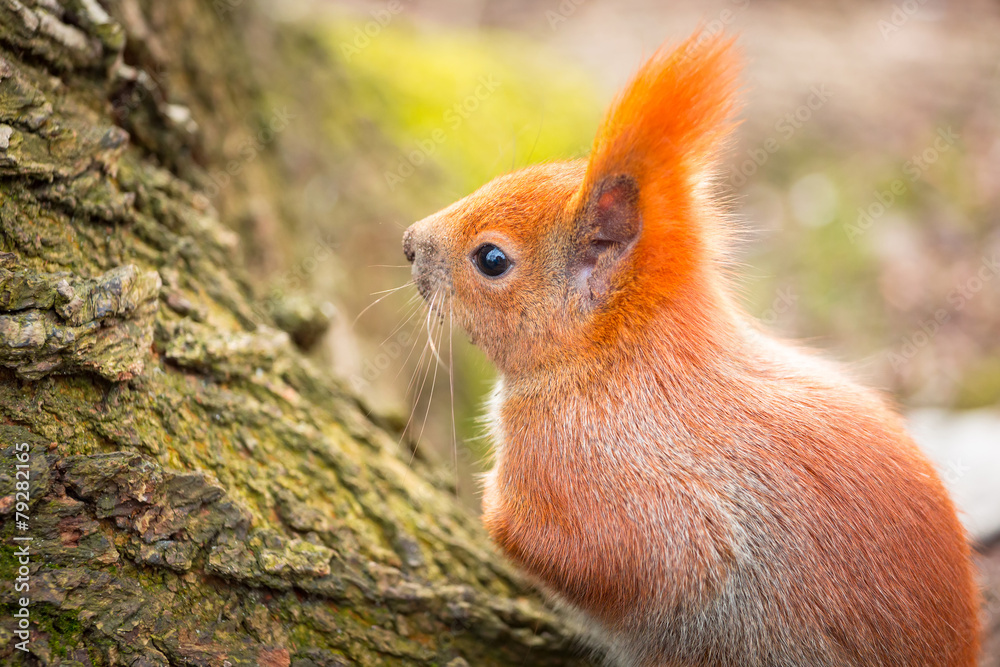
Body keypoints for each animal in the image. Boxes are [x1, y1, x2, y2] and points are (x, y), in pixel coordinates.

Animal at [402, 32, 980, 667]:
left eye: (492, 259)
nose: (408, 243)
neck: (615, 360)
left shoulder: (608, 471)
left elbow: (593, 554)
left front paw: (487, 506)